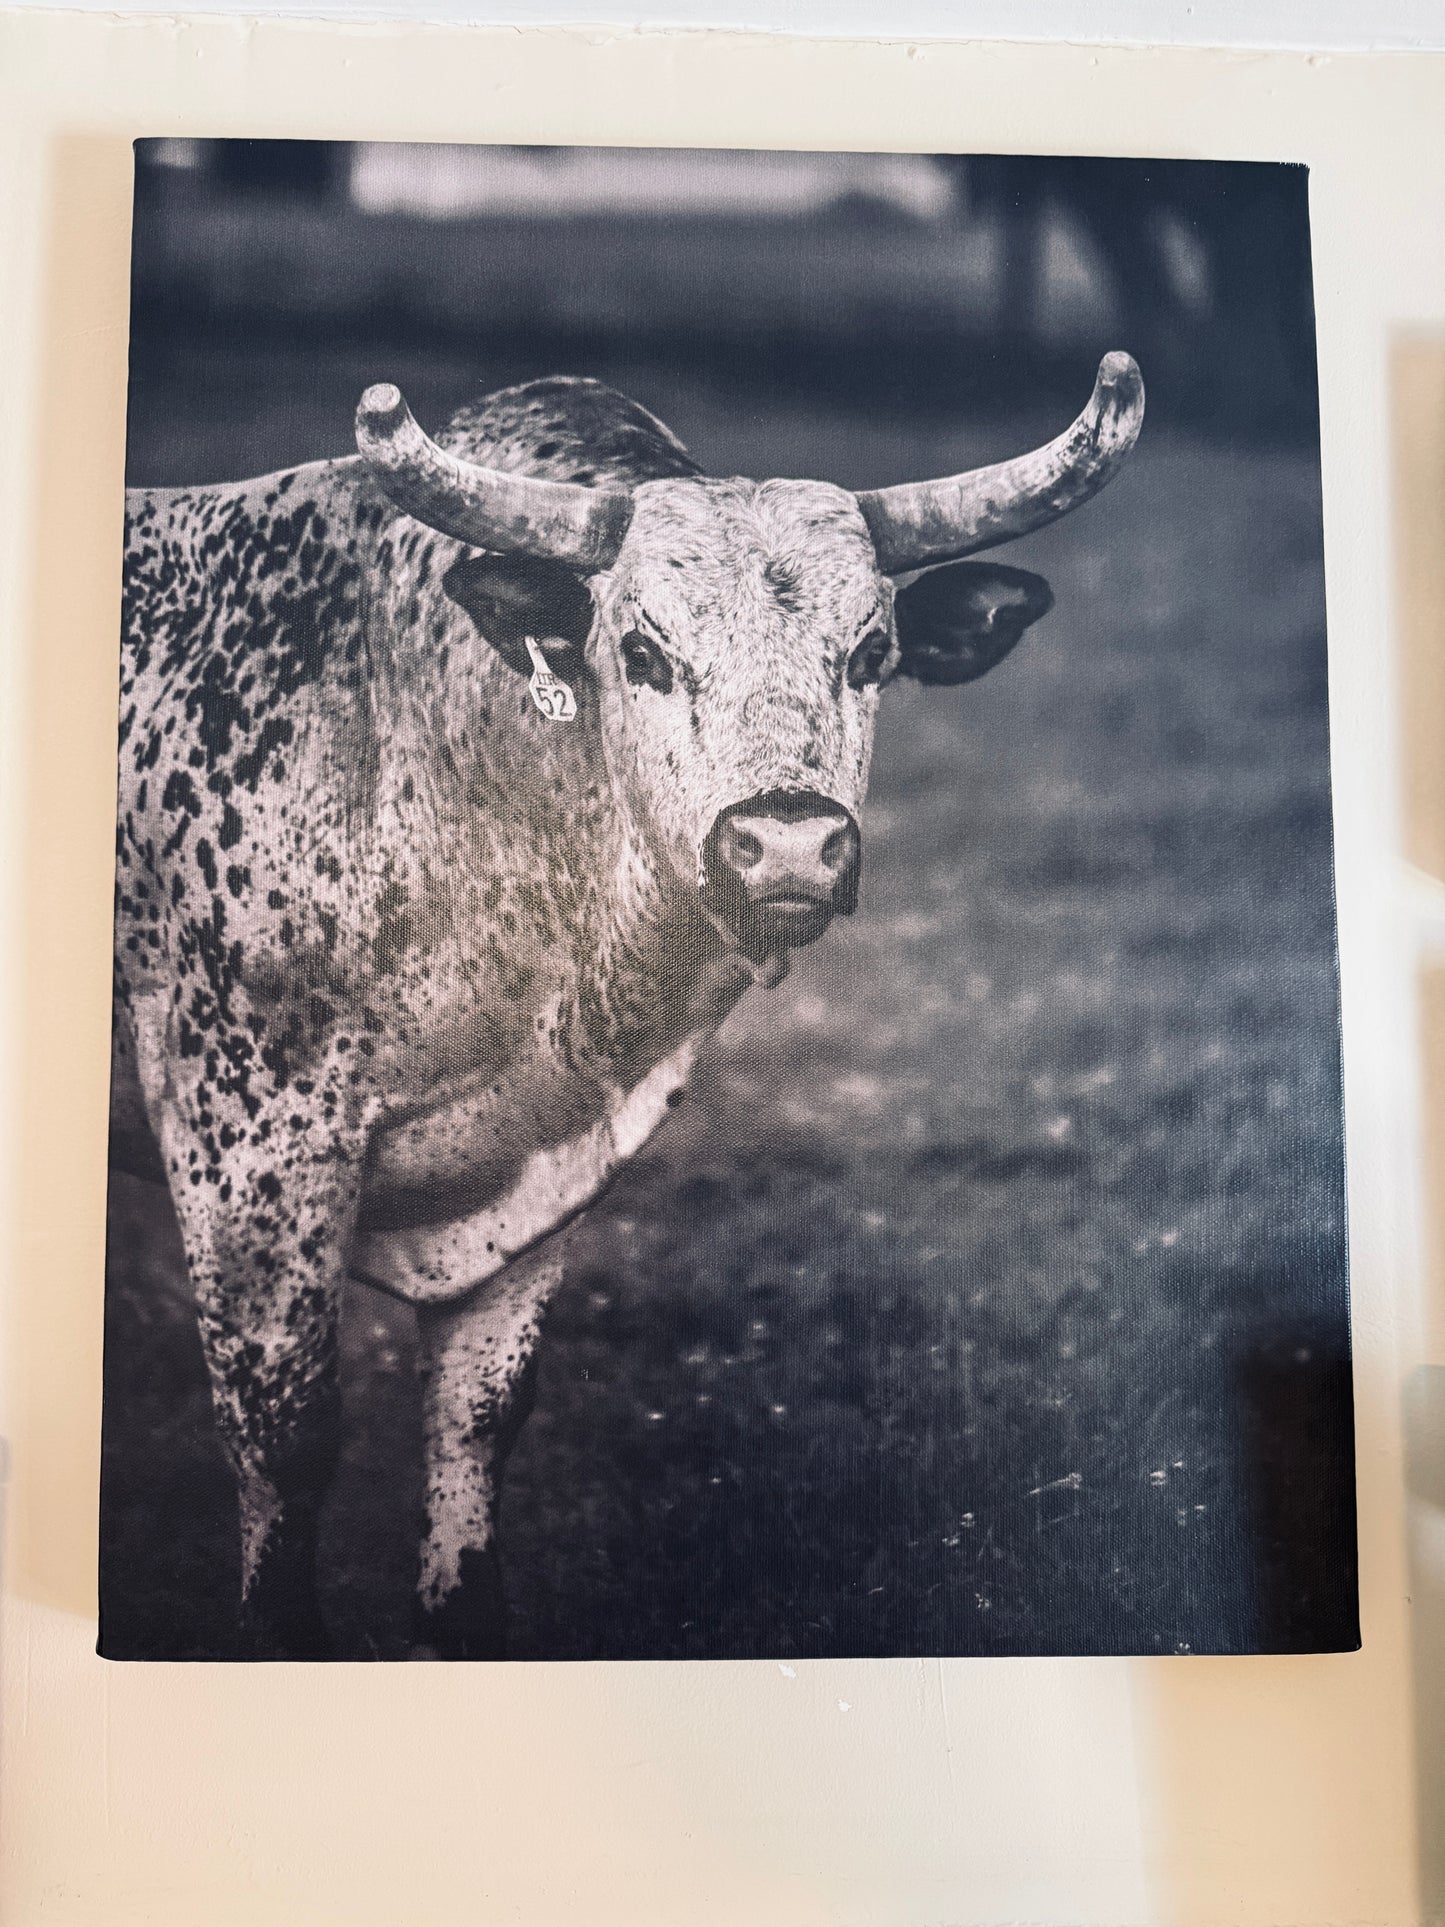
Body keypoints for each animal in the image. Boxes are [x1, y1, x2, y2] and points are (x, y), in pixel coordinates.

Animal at [108, 352, 1144, 1658]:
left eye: (871, 653)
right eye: (643, 652)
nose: (786, 847)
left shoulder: (534, 1161)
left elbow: (477, 1422)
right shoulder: (246, 1140)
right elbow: (284, 1442)